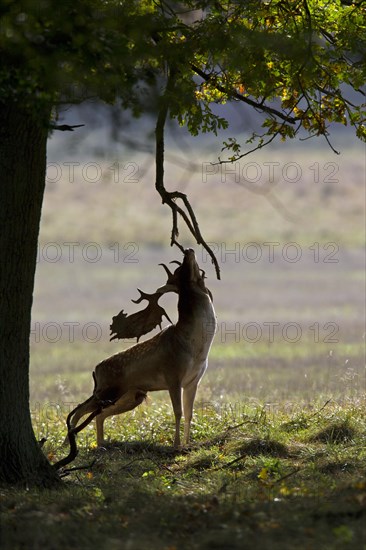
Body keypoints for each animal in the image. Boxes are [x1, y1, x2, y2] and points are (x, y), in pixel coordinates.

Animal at [55, 250, 216, 470]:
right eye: (181, 271)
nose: (189, 251)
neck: (196, 348)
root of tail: (96, 369)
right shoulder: (172, 375)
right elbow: (178, 412)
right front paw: (175, 446)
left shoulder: (193, 380)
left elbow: (190, 413)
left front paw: (187, 444)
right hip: (108, 389)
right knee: (80, 410)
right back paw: (66, 445)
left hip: (131, 396)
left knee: (99, 414)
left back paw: (101, 445)